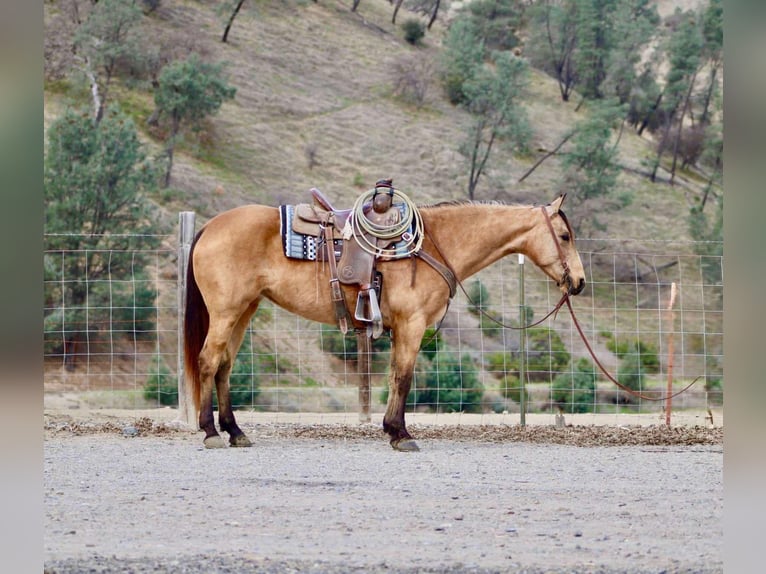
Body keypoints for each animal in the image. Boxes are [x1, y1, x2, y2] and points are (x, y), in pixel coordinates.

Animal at [184, 195, 588, 454]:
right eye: (565, 236)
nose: (580, 282)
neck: (432, 245)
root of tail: (209, 227)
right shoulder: (412, 325)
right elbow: (405, 378)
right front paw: (401, 434)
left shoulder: (400, 329)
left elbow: (394, 377)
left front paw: (391, 429)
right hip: (226, 312)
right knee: (208, 362)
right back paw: (210, 432)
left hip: (244, 311)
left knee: (224, 366)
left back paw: (235, 431)